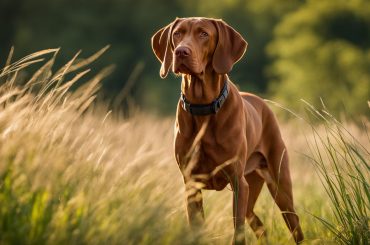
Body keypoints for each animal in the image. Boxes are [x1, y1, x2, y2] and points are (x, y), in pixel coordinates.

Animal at [150, 16, 304, 243]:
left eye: (203, 34)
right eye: (177, 33)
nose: (181, 52)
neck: (203, 107)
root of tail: (262, 102)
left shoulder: (238, 183)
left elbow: (238, 232)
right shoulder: (191, 184)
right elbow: (197, 227)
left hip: (279, 187)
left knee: (295, 226)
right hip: (252, 188)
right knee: (259, 225)